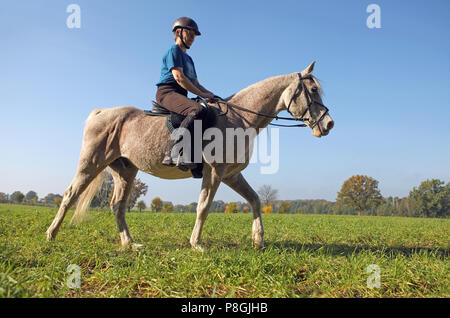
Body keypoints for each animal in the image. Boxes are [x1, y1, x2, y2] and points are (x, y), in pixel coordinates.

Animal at [45, 61, 334, 251]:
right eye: (313, 91)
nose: (328, 124)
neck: (240, 117)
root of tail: (101, 112)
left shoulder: (231, 174)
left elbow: (254, 200)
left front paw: (258, 240)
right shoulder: (215, 172)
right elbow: (204, 206)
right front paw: (196, 244)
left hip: (125, 171)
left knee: (117, 205)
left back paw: (130, 244)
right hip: (91, 164)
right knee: (70, 195)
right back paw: (51, 235)